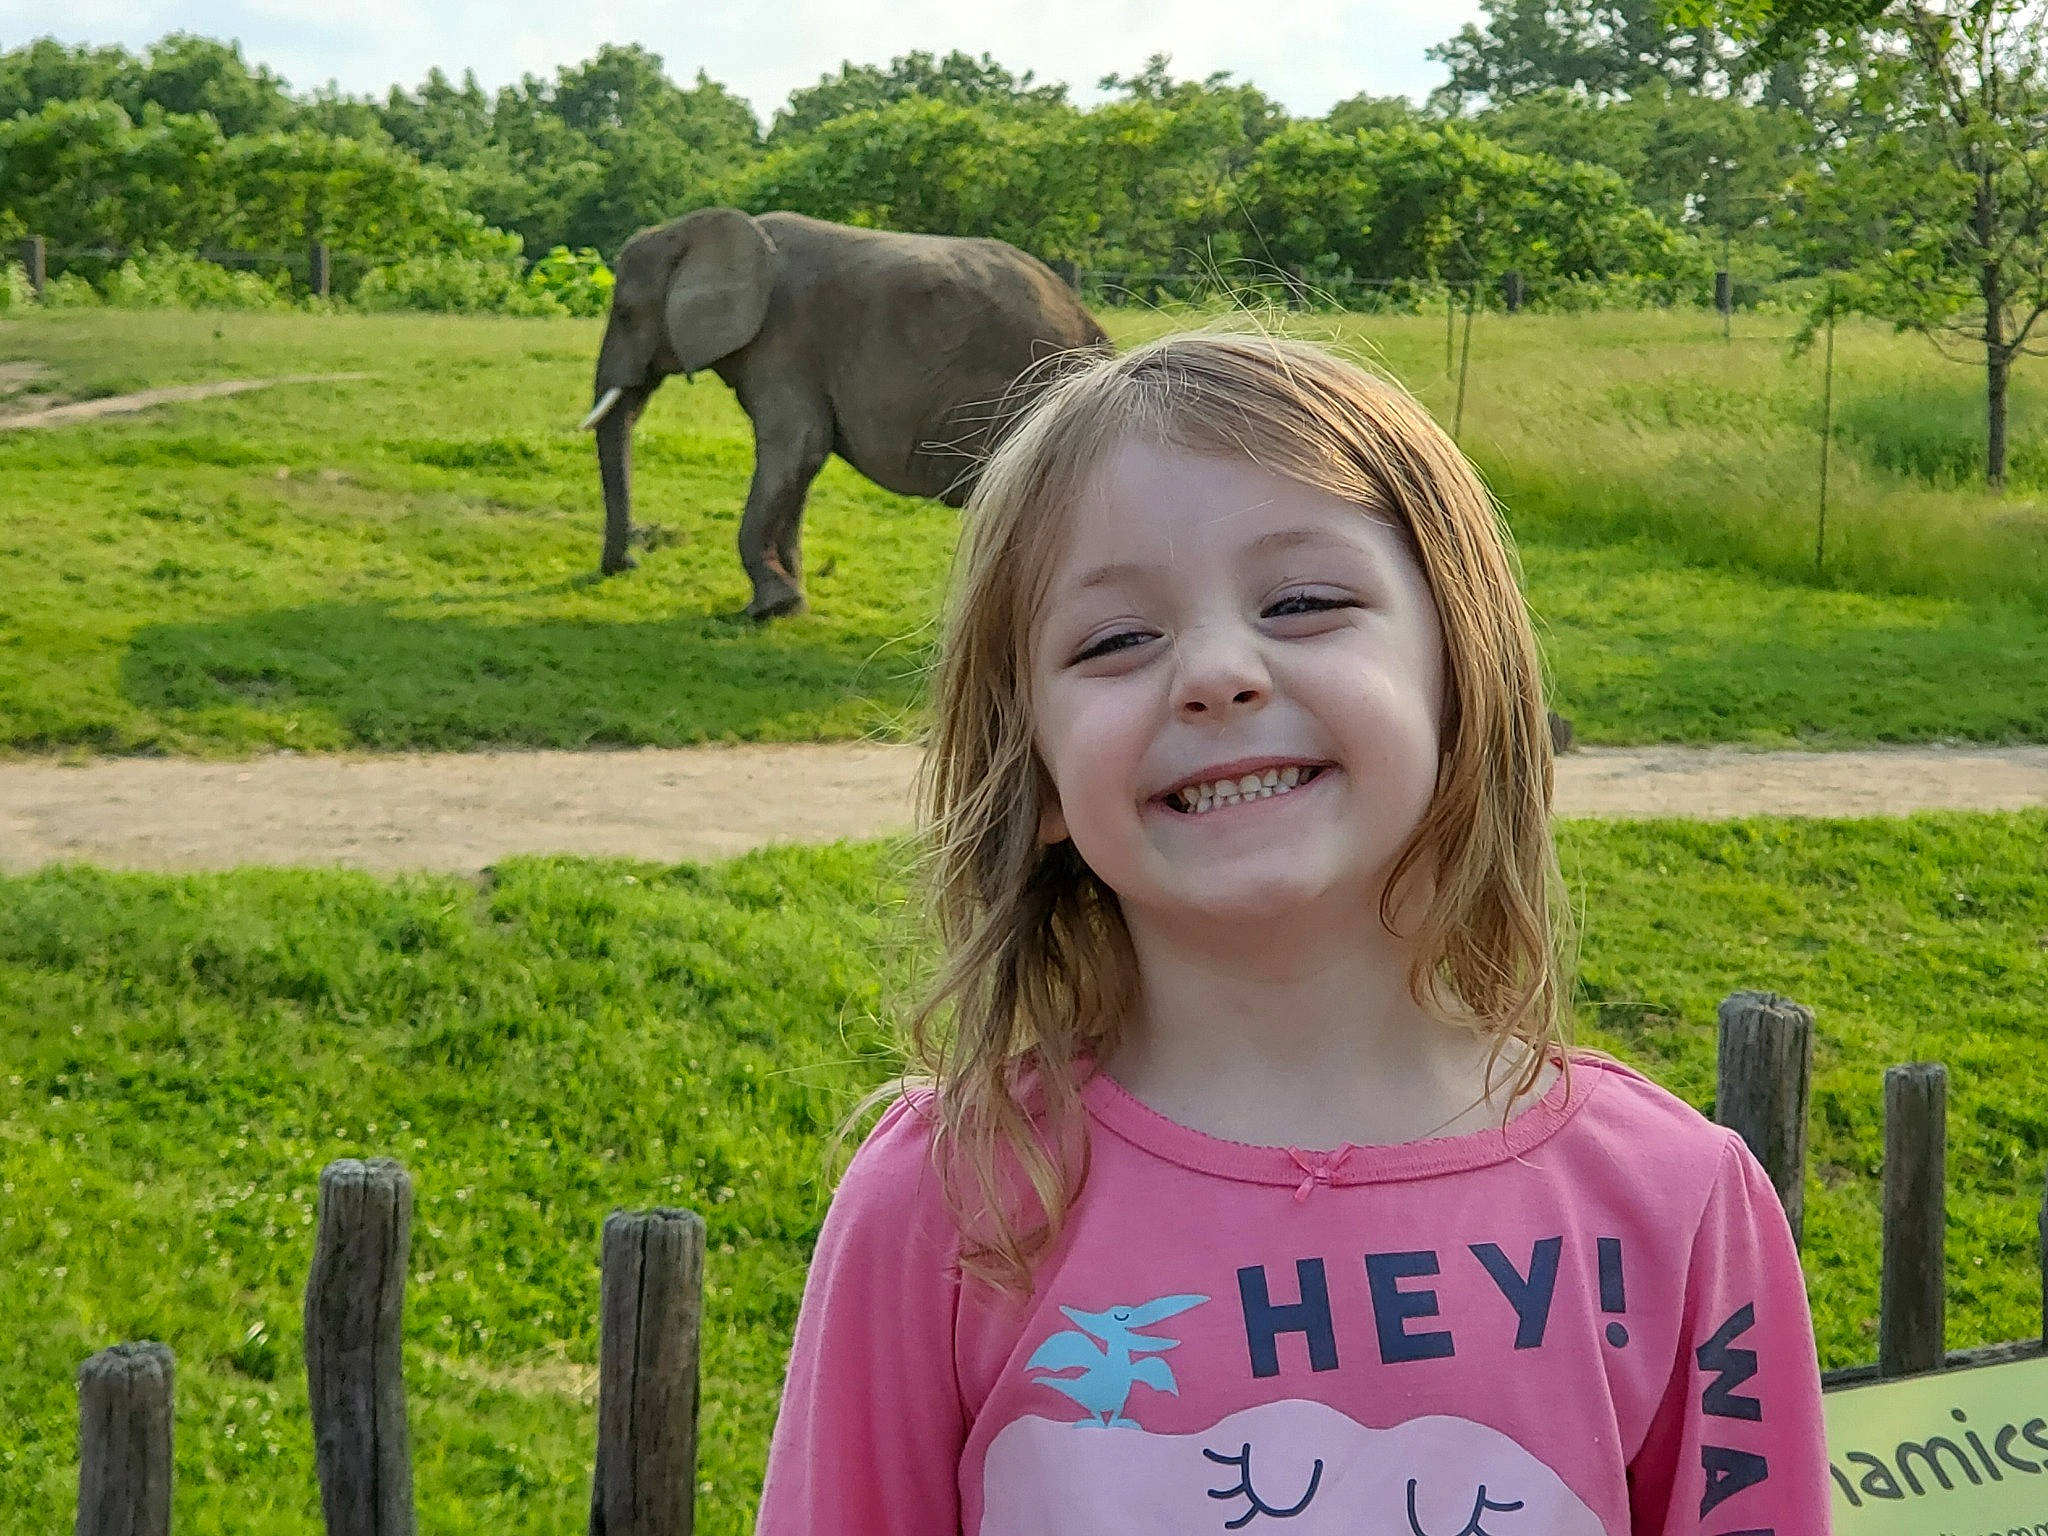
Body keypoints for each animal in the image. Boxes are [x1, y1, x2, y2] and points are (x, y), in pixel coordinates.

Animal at [581, 207, 1111, 619]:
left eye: (625, 313)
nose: (627, 565)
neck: (696, 228)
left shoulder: (784, 341)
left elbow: (796, 446)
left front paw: (766, 608)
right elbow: (799, 465)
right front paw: (787, 605)